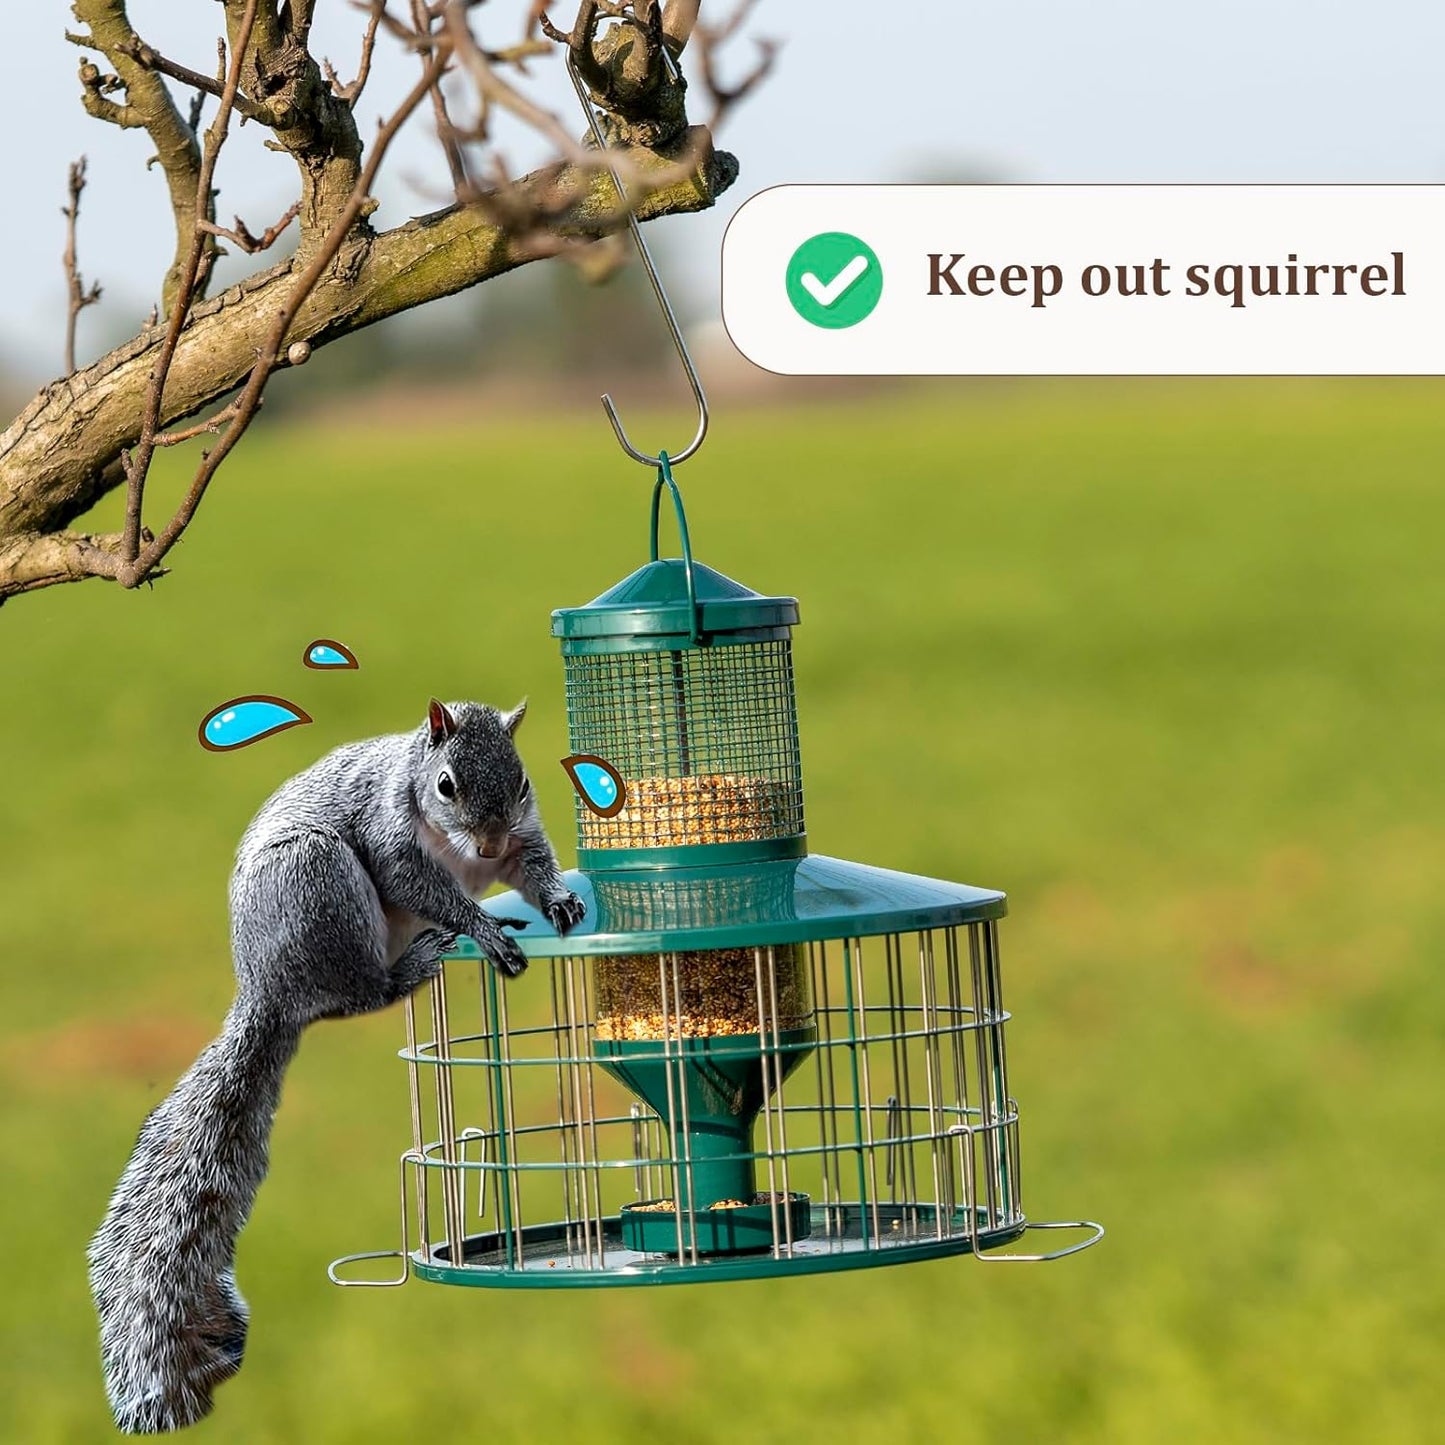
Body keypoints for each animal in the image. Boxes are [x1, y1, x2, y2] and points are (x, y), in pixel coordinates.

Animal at [87, 698, 584, 1434]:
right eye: (446, 786)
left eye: (522, 780)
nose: (489, 847)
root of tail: (269, 988)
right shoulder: (389, 836)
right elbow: (421, 882)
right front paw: (484, 928)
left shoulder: (522, 835)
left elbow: (534, 864)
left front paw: (557, 900)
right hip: (319, 883)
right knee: (362, 993)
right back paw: (417, 963)